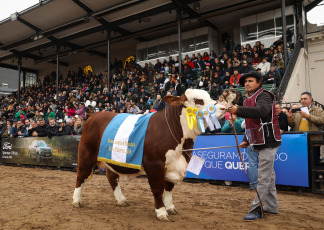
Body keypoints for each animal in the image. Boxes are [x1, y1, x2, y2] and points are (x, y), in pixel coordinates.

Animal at [72, 89, 223, 220]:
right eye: (198, 100)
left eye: (209, 96)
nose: (222, 107)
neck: (182, 146)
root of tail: (94, 115)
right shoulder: (154, 165)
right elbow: (157, 189)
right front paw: (161, 212)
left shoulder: (172, 165)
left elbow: (169, 188)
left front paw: (170, 208)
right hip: (86, 155)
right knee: (81, 175)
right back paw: (76, 201)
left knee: (112, 177)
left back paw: (121, 200)